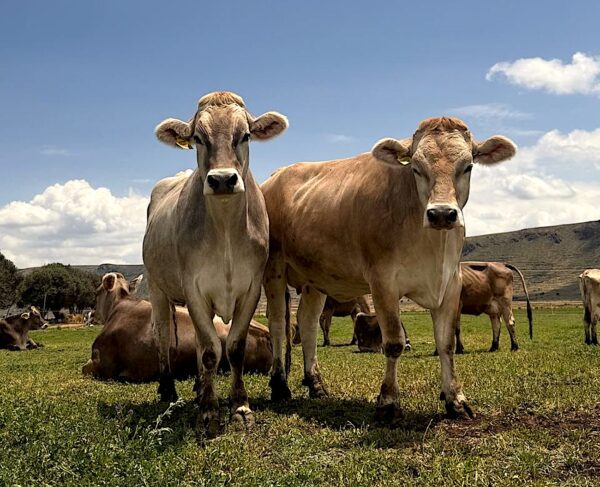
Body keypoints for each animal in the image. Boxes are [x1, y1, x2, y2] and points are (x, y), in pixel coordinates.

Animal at [143, 91, 288, 434]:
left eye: (244, 135)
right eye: (198, 137)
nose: (222, 179)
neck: (224, 230)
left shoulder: (251, 289)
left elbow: (233, 347)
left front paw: (240, 406)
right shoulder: (193, 289)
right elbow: (211, 350)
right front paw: (209, 410)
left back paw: (198, 387)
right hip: (156, 287)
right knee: (163, 334)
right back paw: (168, 389)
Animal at [354, 264, 532, 354]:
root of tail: (501, 264)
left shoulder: (457, 305)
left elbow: (456, 329)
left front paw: (459, 349)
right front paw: (438, 350)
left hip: (505, 302)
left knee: (510, 322)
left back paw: (514, 346)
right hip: (492, 307)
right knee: (497, 324)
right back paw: (493, 347)